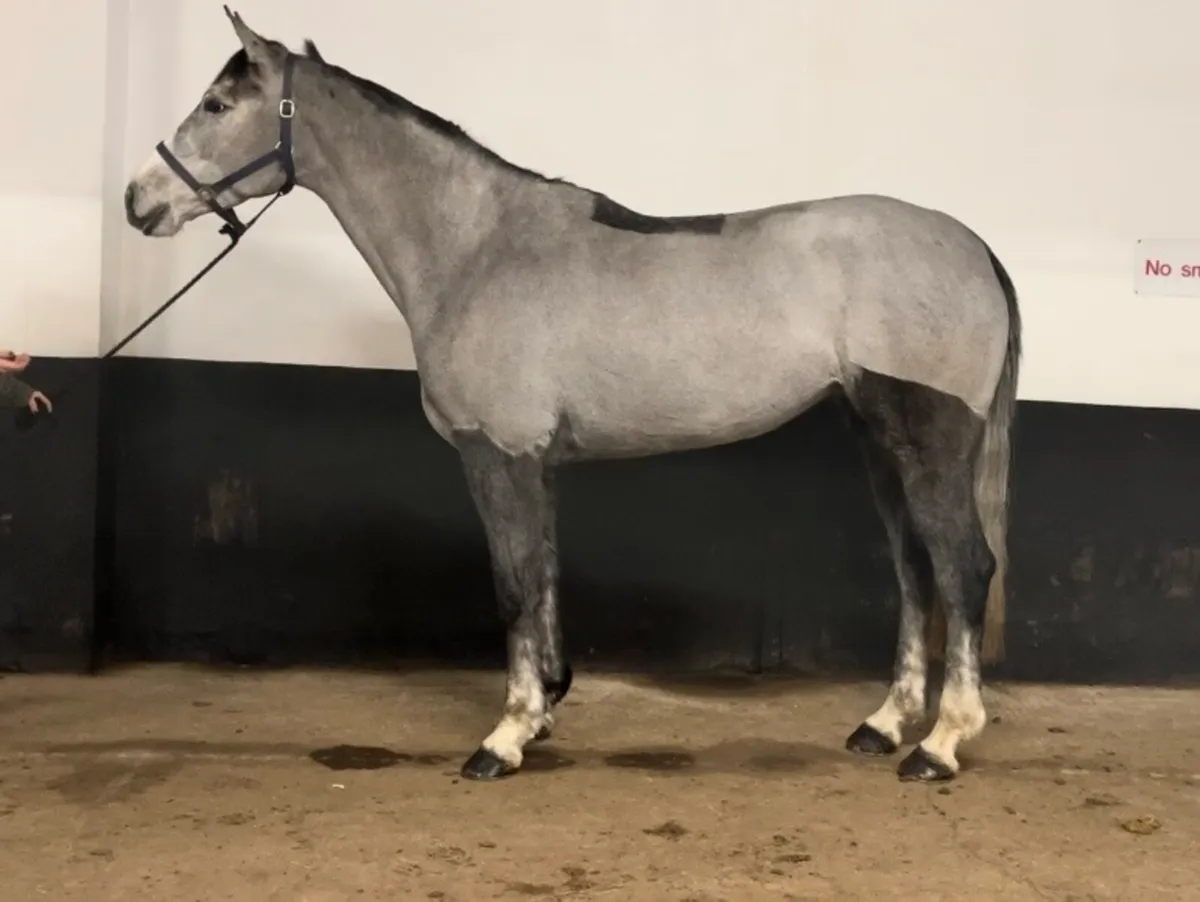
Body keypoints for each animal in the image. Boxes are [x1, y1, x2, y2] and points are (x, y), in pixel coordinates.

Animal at [124, 8, 1021, 784]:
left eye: (216, 104)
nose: (139, 201)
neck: (476, 248)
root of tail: (974, 246)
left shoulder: (497, 455)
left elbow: (515, 584)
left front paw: (505, 736)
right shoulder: (539, 462)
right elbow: (546, 575)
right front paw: (546, 708)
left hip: (929, 443)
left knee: (963, 567)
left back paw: (940, 744)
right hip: (879, 442)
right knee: (915, 570)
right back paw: (885, 724)